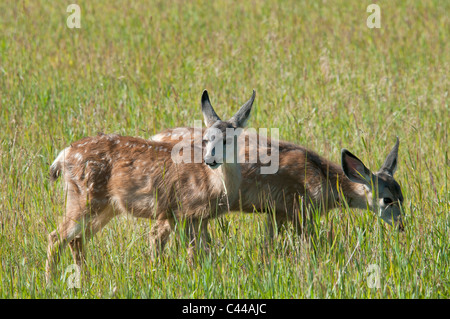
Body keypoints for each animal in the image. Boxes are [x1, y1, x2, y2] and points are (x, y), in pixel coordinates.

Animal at [46, 89, 256, 284]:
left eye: (228, 139)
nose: (209, 159)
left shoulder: (200, 218)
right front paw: (193, 278)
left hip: (107, 206)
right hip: (84, 198)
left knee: (77, 239)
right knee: (56, 236)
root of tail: (63, 155)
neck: (212, 184)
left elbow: (204, 252)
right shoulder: (183, 211)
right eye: (206, 139)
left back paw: (84, 279)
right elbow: (192, 253)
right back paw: (51, 282)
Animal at [150, 127, 404, 245]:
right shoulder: (299, 209)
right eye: (387, 199)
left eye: (403, 196)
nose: (402, 227)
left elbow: (268, 243)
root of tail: (154, 138)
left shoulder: (277, 212)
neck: (321, 179)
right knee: (157, 233)